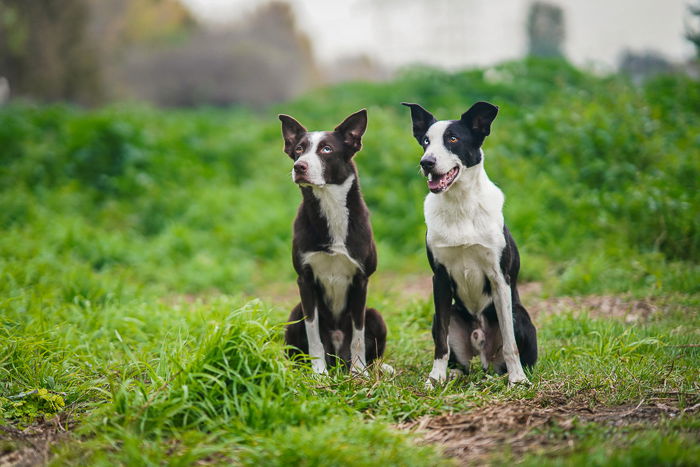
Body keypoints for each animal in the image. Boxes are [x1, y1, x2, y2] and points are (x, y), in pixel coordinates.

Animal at [278, 108, 388, 374]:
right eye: (299, 149)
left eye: (326, 149)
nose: (299, 166)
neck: (330, 207)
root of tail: (338, 355)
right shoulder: (305, 280)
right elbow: (313, 334)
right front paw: (319, 373)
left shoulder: (361, 280)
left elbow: (358, 335)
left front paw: (359, 372)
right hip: (294, 315)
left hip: (376, 316)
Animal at [402, 101, 540, 388]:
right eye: (426, 141)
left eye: (453, 139)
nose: (426, 162)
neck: (460, 205)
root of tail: (482, 351)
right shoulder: (440, 279)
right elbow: (441, 342)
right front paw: (435, 378)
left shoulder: (500, 278)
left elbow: (510, 343)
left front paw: (518, 379)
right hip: (445, 317)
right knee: (458, 360)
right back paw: (453, 373)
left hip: (520, 315)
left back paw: (512, 373)